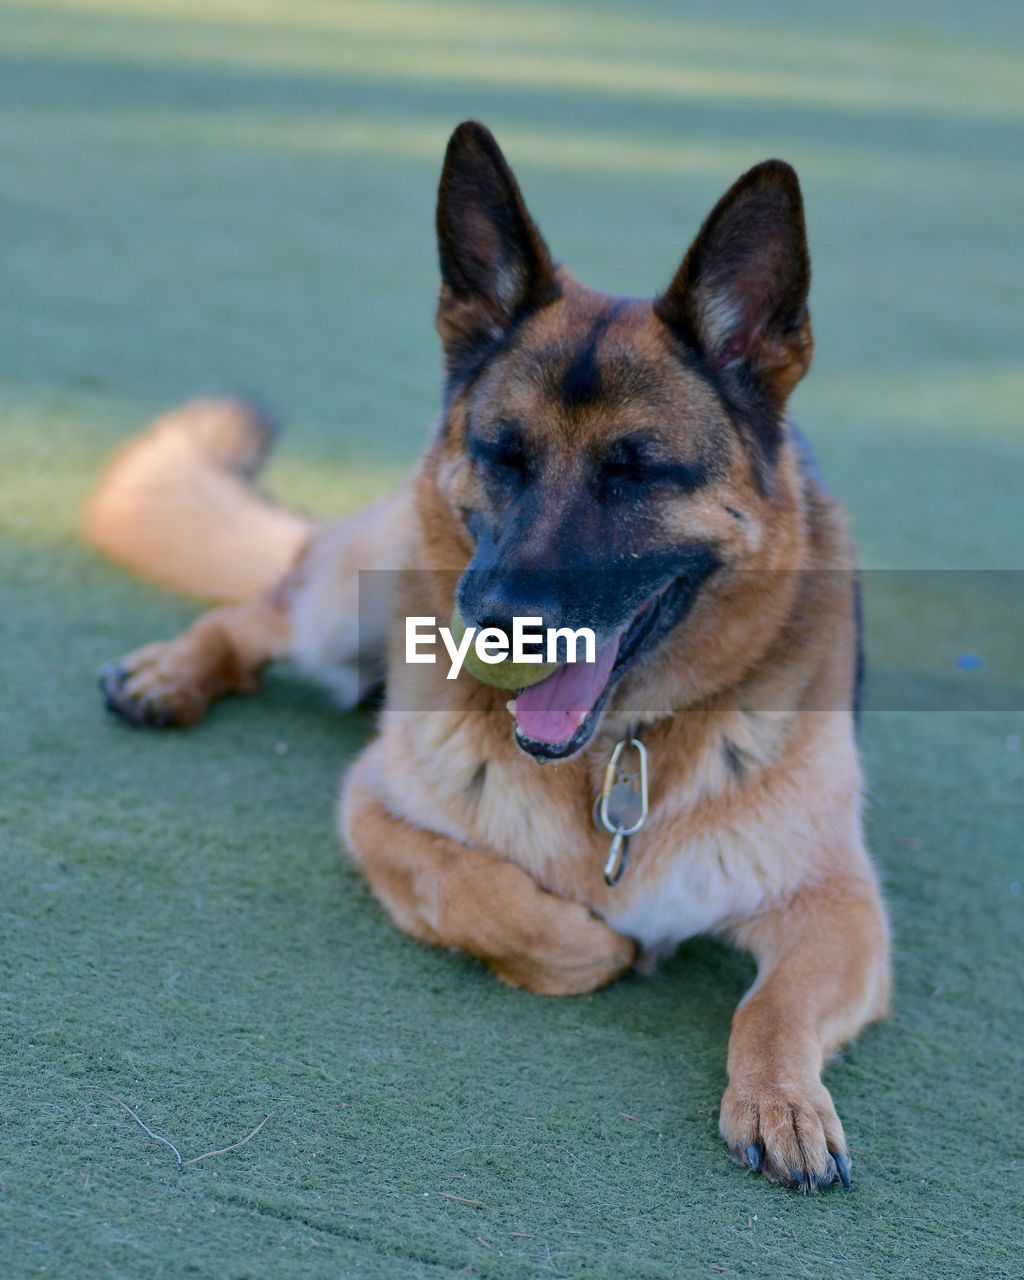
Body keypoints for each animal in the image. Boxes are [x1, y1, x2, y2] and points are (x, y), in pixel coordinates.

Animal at [85, 122, 885, 1187]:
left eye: (636, 474)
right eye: (504, 454)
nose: (498, 626)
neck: (617, 754)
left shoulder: (839, 908)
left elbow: (772, 1005)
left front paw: (783, 1100)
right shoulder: (377, 814)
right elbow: (505, 904)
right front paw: (605, 948)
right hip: (351, 596)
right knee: (263, 607)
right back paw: (171, 673)